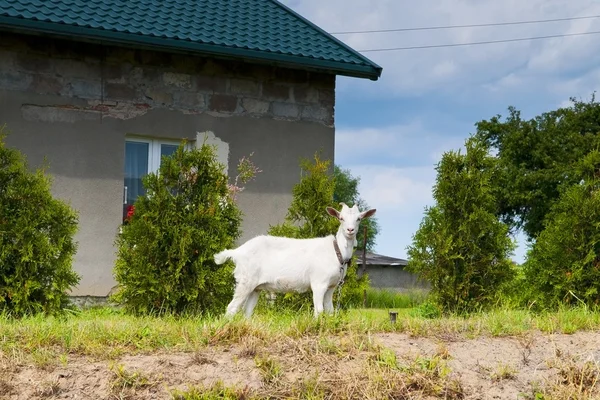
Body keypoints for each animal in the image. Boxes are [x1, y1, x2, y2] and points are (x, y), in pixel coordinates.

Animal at [214, 205, 376, 318]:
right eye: (341, 218)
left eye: (359, 218)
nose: (350, 230)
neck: (337, 252)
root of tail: (238, 252)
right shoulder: (319, 283)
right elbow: (319, 310)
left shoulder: (331, 286)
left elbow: (329, 310)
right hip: (245, 280)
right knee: (232, 307)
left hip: (255, 287)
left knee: (247, 311)